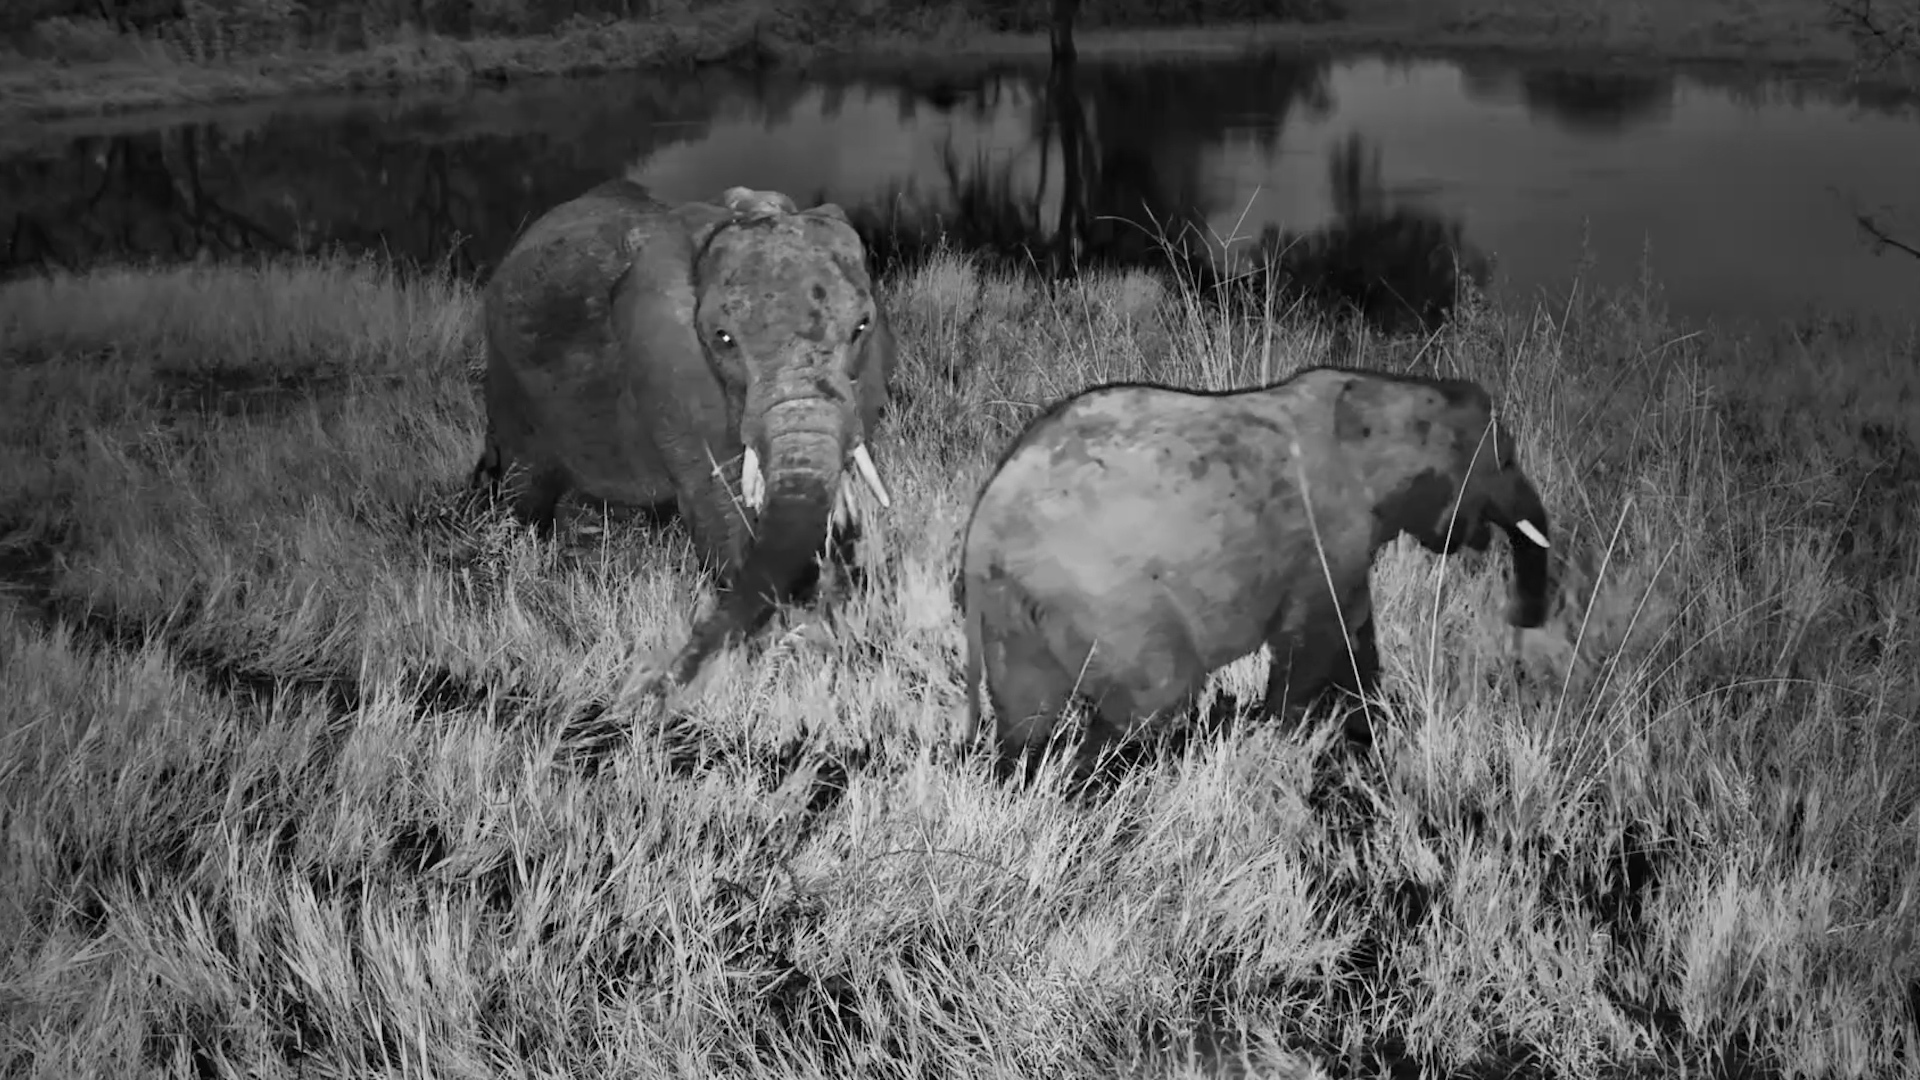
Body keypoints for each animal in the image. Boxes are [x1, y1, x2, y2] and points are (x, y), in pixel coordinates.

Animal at [471, 178, 897, 692]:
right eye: (722, 339)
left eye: (862, 327)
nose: (661, 679)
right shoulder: (669, 370)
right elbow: (718, 499)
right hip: (509, 377)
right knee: (526, 487)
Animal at [958, 364, 1552, 778]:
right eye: (1504, 459)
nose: (1522, 619)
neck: (1388, 392)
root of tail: (982, 535)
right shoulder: (1328, 535)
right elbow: (1320, 638)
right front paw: (1283, 736)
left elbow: (1354, 636)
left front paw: (1367, 727)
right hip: (1108, 602)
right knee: (1152, 700)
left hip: (1021, 610)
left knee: (1026, 715)